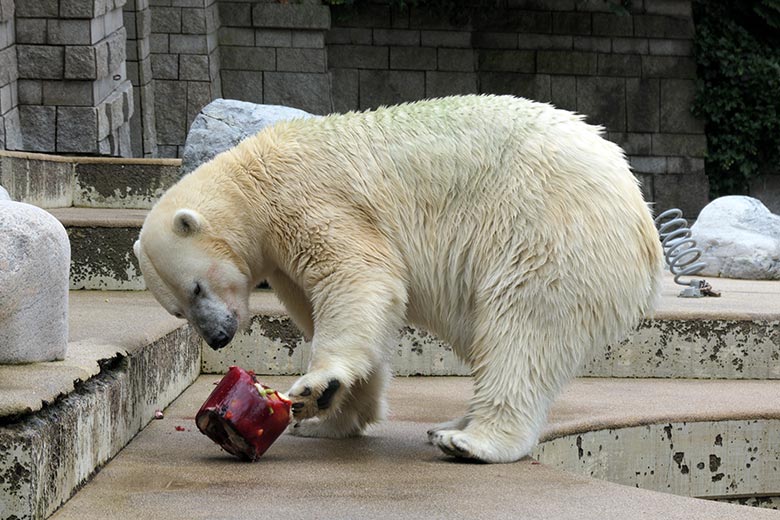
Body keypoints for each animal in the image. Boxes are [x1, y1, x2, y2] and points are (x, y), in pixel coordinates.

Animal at [136, 95, 664, 462]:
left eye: (196, 287)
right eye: (178, 309)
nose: (219, 337)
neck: (251, 180)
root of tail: (641, 214)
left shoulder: (309, 200)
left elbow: (358, 278)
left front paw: (312, 389)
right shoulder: (282, 258)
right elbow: (331, 310)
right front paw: (332, 415)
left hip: (547, 232)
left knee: (523, 327)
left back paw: (471, 440)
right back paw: (452, 424)